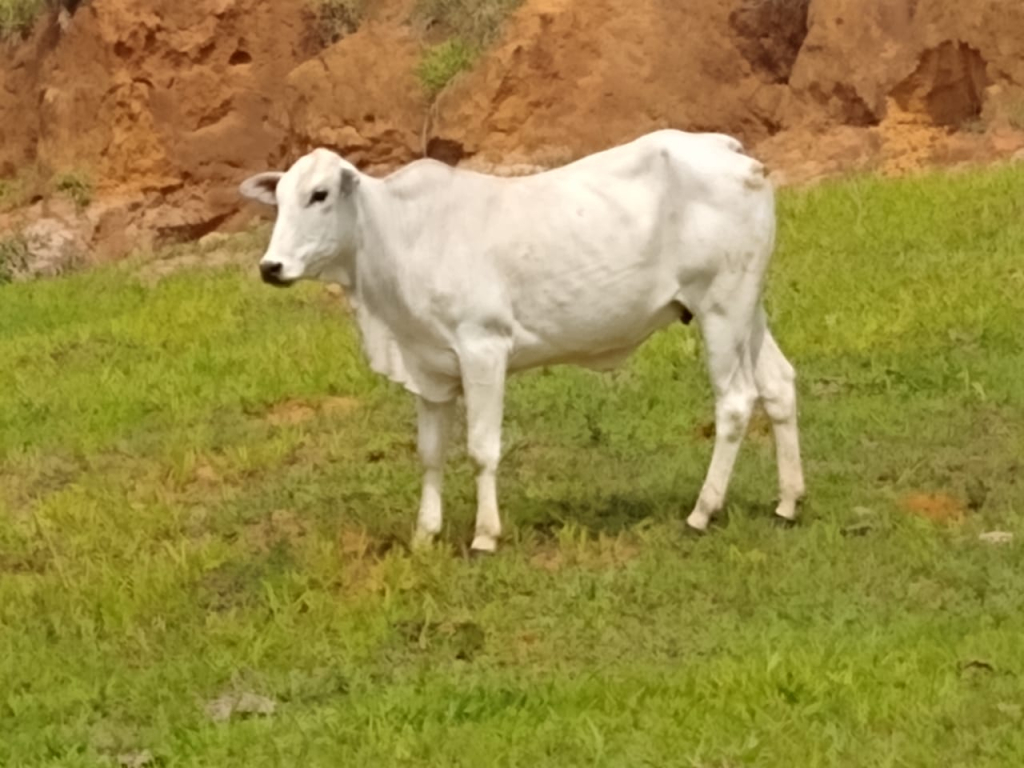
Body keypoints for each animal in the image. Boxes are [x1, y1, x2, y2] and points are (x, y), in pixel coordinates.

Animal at [237, 131, 798, 552]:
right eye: (278, 200)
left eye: (320, 195)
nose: (270, 266)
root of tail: (728, 149)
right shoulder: (429, 368)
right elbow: (430, 453)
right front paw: (425, 533)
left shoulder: (483, 348)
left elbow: (482, 448)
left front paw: (485, 535)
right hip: (746, 308)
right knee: (778, 385)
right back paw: (788, 501)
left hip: (720, 307)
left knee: (736, 401)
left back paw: (702, 511)